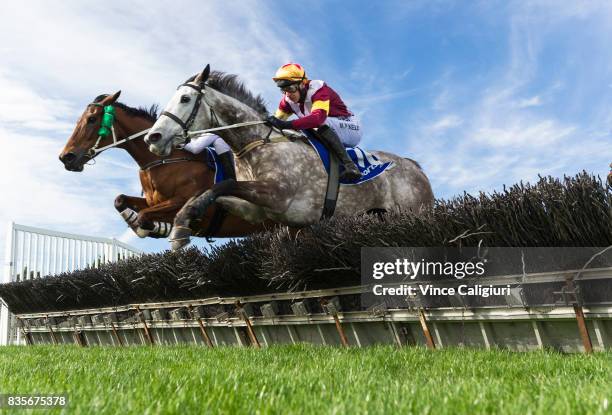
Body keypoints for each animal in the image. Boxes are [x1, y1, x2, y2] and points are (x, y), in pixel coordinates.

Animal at [59, 91, 270, 240]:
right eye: (79, 120)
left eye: (92, 119)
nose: (66, 157)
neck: (165, 160)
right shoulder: (153, 202)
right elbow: (120, 200)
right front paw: (153, 227)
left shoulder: (184, 200)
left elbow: (144, 216)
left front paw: (158, 228)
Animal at [145, 64, 432, 247]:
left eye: (184, 99)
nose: (153, 137)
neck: (256, 143)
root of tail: (415, 168)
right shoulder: (256, 210)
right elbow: (211, 192)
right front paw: (181, 223)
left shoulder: (278, 195)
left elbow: (223, 184)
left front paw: (179, 225)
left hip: (413, 213)